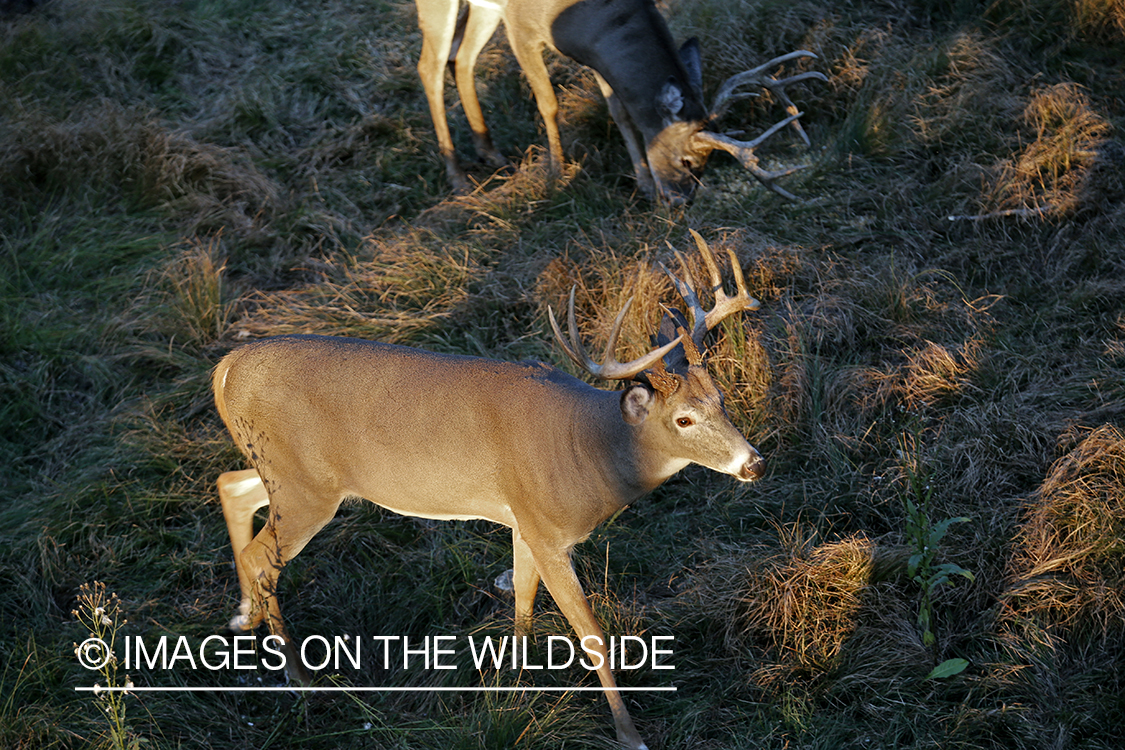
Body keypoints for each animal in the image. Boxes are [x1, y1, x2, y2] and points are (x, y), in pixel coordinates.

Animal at [212, 231, 765, 746]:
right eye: (684, 418)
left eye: (722, 399)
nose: (754, 464)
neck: (590, 447)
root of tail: (225, 369)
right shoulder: (548, 531)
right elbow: (589, 633)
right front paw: (629, 735)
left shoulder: (523, 520)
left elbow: (522, 598)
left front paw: (514, 685)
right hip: (305, 488)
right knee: (262, 555)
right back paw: (299, 676)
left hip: (288, 475)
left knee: (231, 486)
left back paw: (244, 618)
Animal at [414, 0, 828, 202]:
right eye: (687, 160)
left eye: (707, 164)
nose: (681, 201)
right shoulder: (521, 26)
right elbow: (548, 103)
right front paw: (557, 176)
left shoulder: (598, 56)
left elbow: (621, 112)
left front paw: (643, 184)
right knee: (430, 64)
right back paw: (458, 178)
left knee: (461, 57)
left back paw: (491, 154)